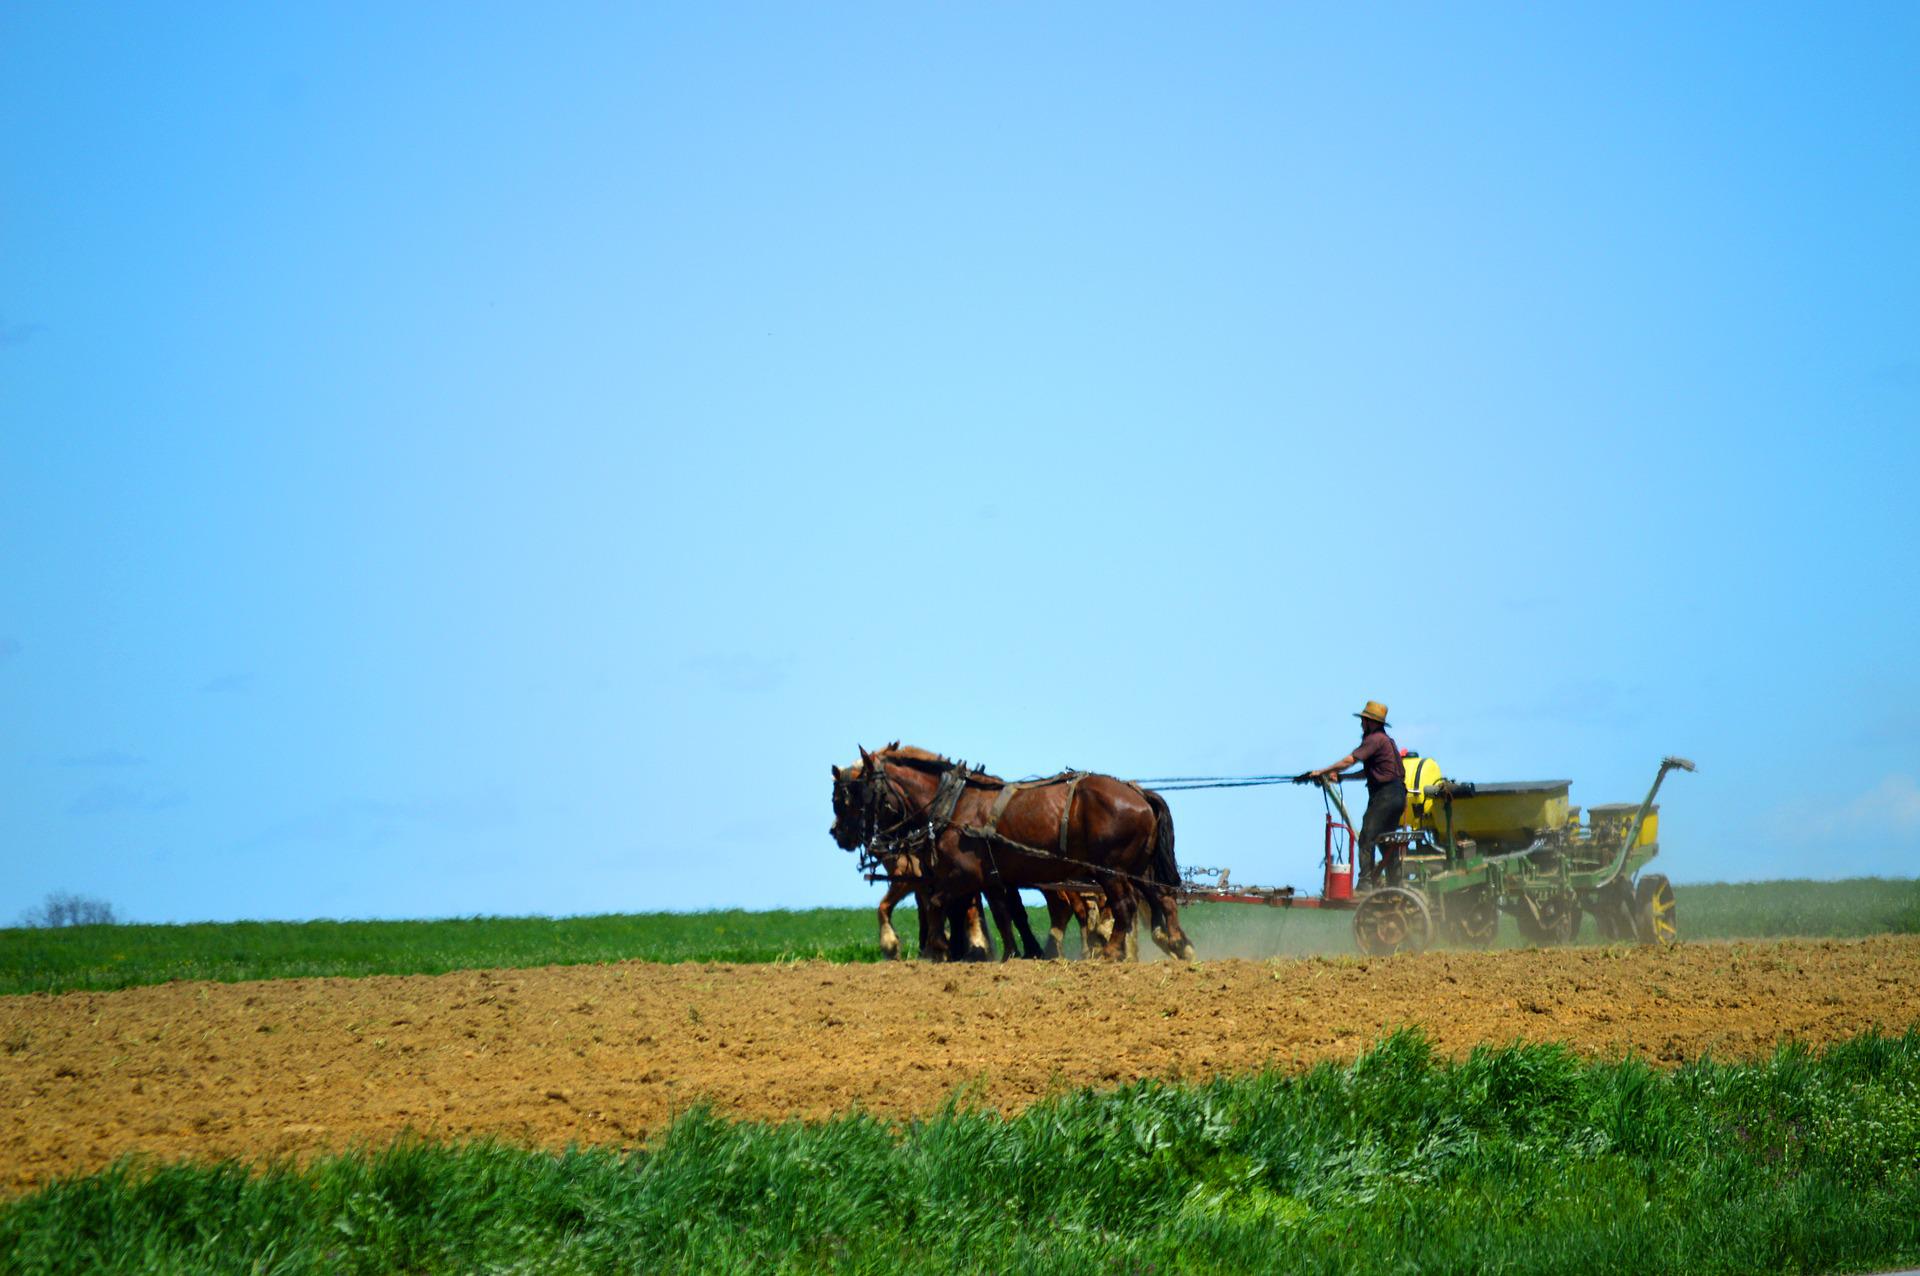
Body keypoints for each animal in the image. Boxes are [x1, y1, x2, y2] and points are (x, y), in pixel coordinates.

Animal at [833, 740, 1190, 959]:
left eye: (847, 796)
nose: (838, 835)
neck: (954, 803)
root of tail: (1138, 792)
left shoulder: (961, 874)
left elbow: (937, 905)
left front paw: (938, 947)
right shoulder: (991, 877)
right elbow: (1006, 914)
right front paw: (1015, 953)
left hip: (1112, 871)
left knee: (1123, 906)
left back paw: (1111, 951)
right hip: (1138, 869)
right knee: (1162, 899)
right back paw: (1177, 944)